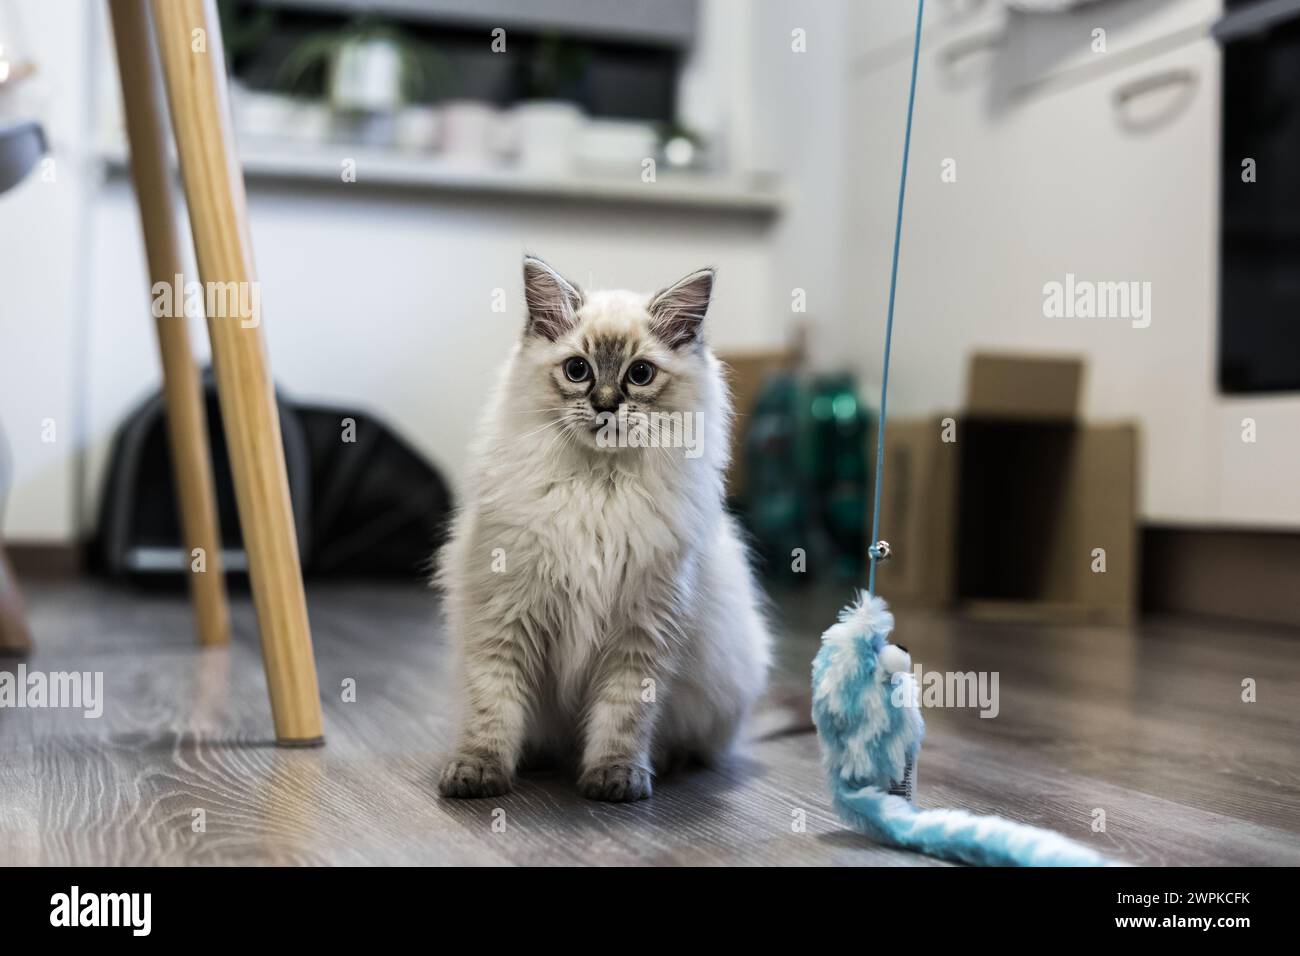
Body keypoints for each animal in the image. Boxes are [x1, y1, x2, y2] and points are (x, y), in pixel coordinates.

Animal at [439, 257, 769, 806]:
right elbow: (494, 707)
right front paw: (478, 772)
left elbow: (623, 716)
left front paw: (615, 778)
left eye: (640, 374)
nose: (606, 403)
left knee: (694, 745)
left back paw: (664, 761)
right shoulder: (506, 615)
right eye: (578, 370)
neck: (599, 489)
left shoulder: (642, 629)